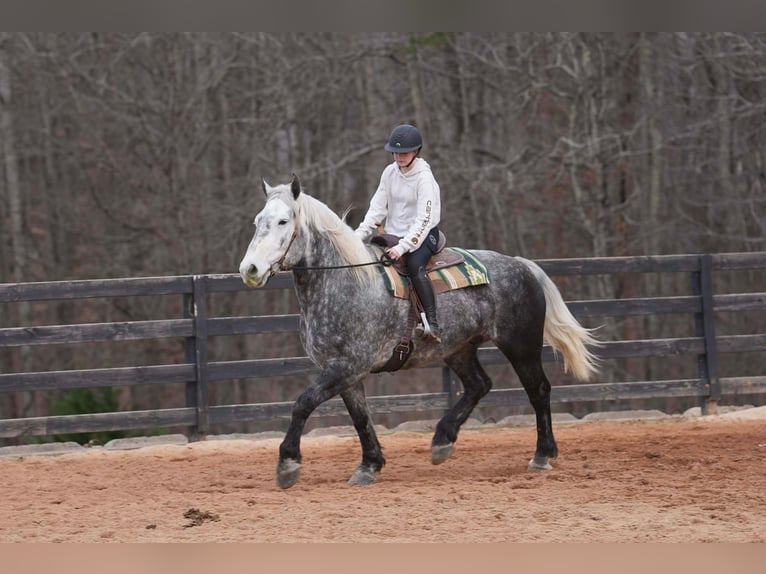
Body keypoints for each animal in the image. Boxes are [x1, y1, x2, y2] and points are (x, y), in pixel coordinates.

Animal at [239, 175, 599, 489]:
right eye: (258, 221)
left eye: (283, 221)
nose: (250, 270)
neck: (345, 283)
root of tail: (522, 265)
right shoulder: (346, 373)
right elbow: (359, 417)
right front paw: (369, 465)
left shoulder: (348, 367)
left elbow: (303, 403)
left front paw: (287, 463)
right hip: (459, 349)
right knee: (479, 385)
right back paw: (442, 440)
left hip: (521, 345)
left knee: (538, 390)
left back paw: (542, 454)